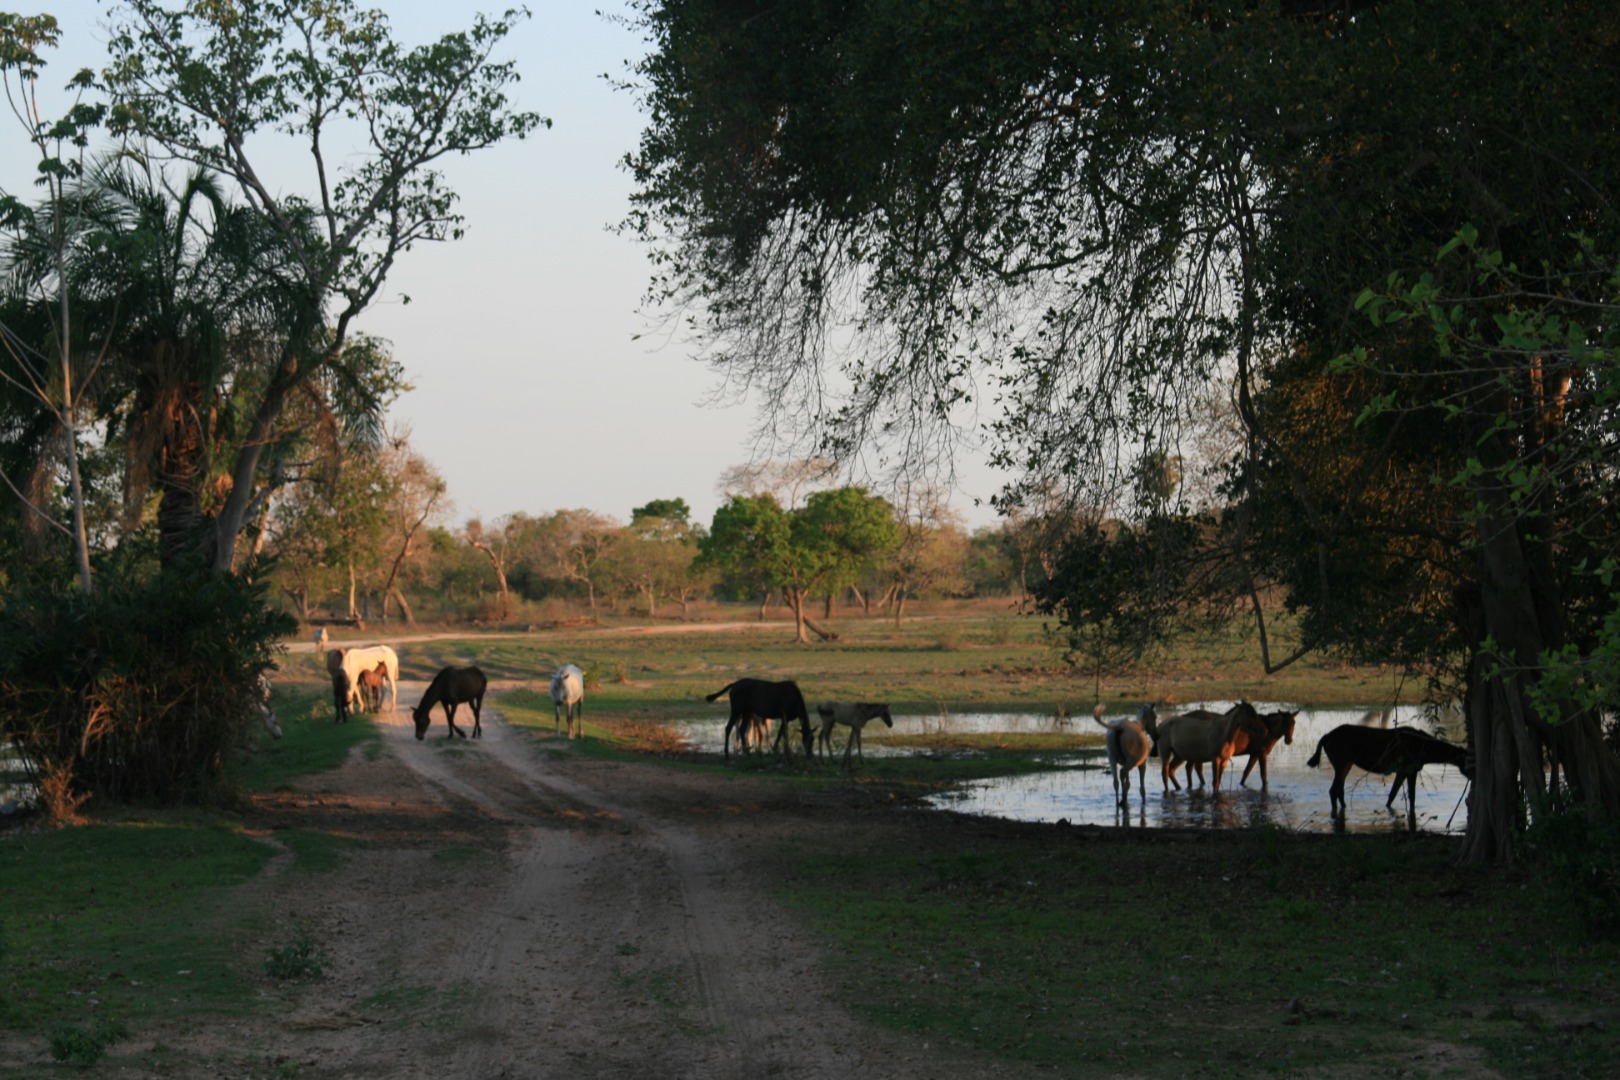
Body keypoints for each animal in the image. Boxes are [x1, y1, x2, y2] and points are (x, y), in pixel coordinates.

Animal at [1302, 725, 1470, 819]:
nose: (1472, 776)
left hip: (1345, 764)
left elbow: (1392, 795)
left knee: (1339, 790)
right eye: (1469, 761)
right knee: (1333, 790)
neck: (1426, 752)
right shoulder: (1410, 768)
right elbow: (1412, 797)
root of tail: (1326, 737)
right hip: (1342, 762)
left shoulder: (1402, 771)